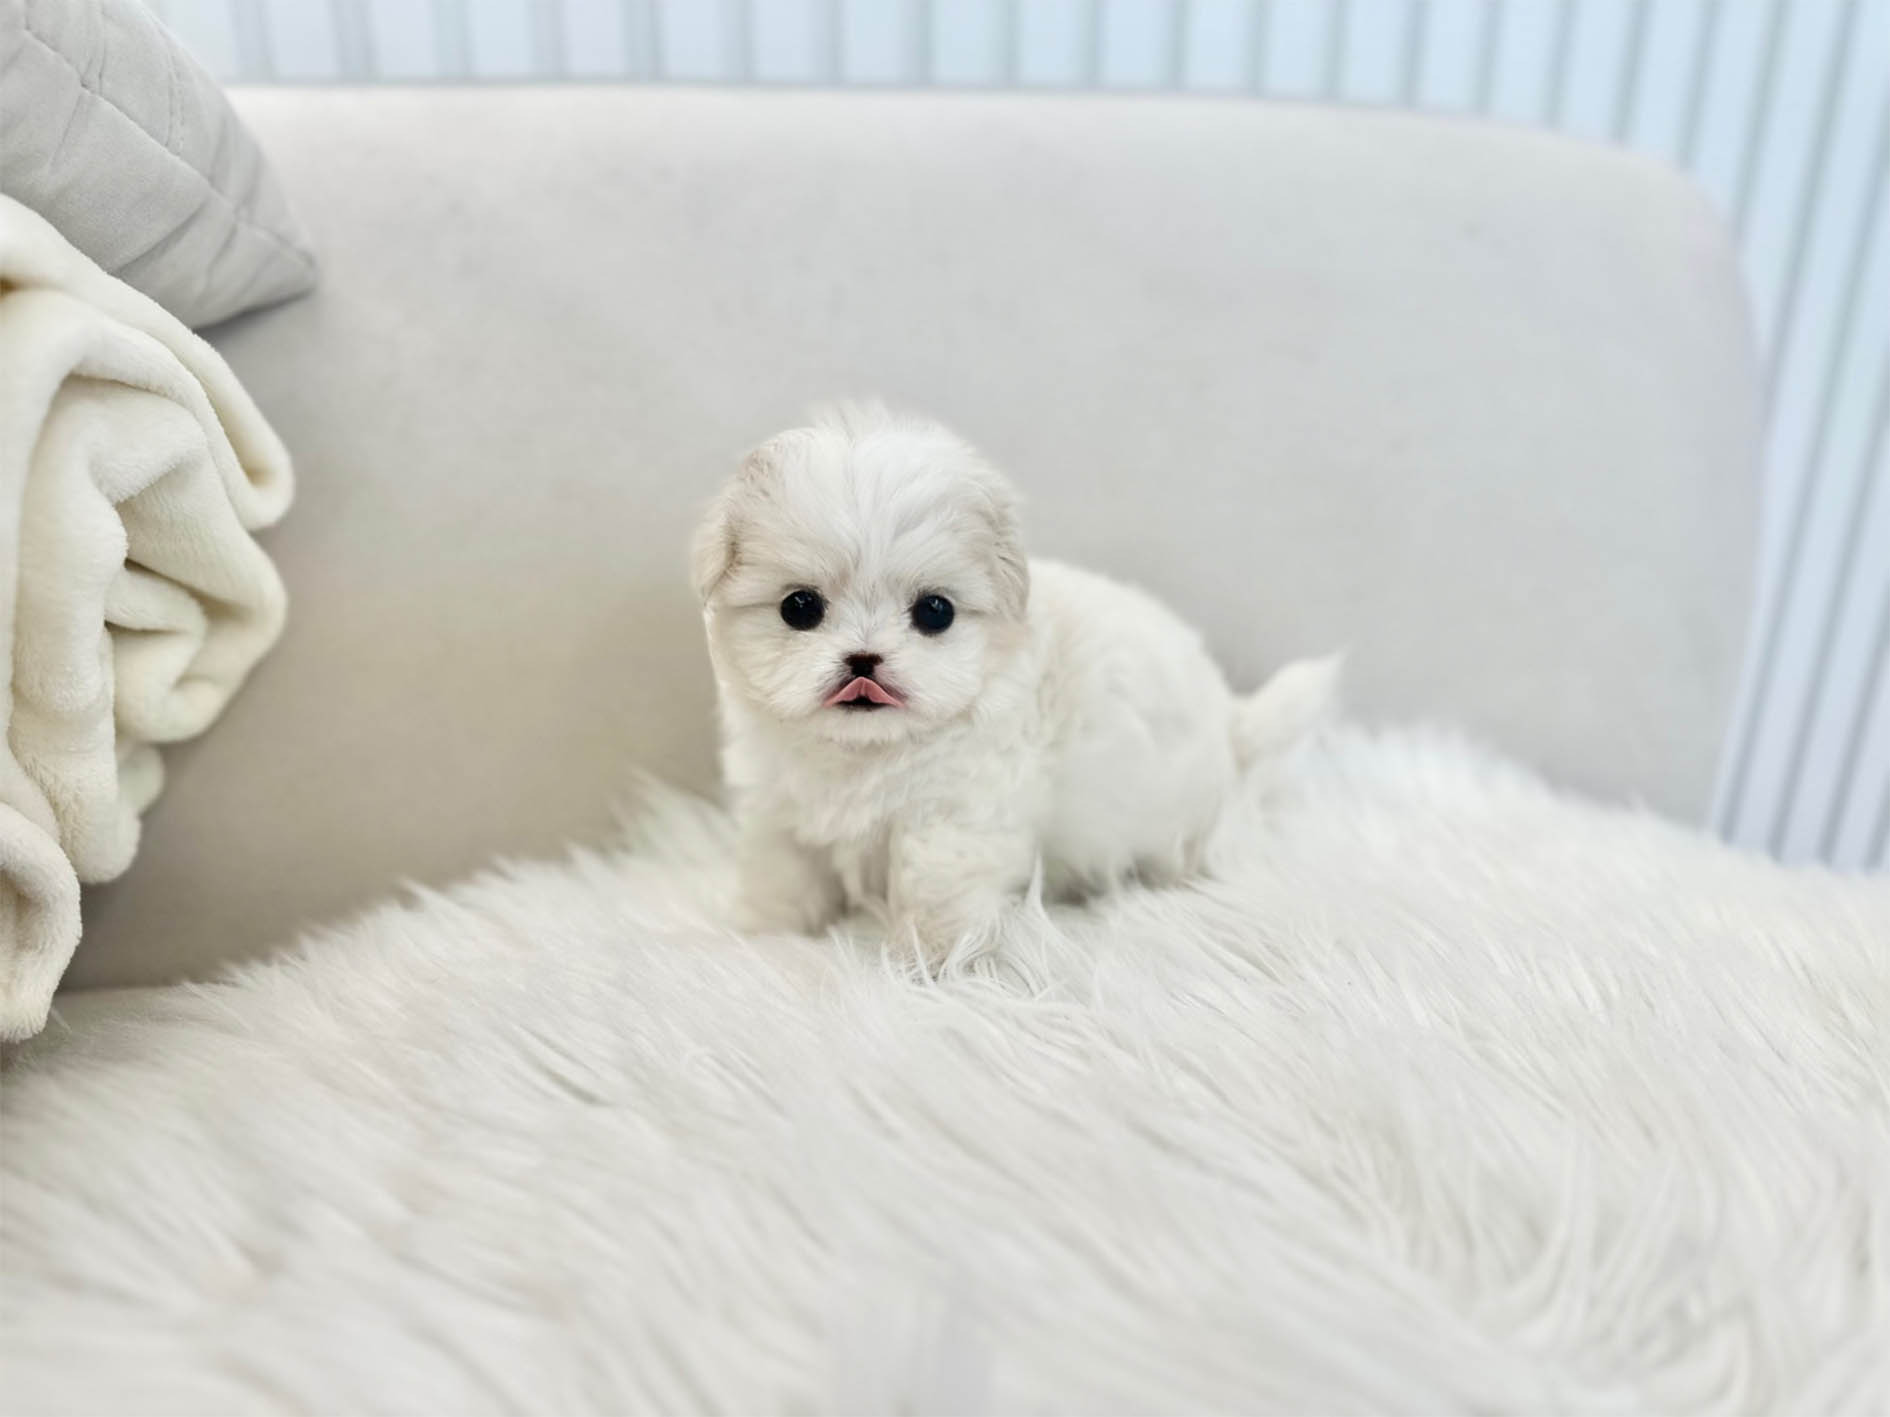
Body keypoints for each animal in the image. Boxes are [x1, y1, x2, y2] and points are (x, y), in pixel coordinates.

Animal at [692, 403, 1333, 967]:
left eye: (935, 613)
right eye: (799, 608)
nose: (864, 660)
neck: (864, 752)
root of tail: (1231, 722)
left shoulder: (958, 813)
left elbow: (935, 884)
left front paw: (932, 959)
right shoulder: (779, 806)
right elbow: (783, 871)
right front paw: (764, 933)